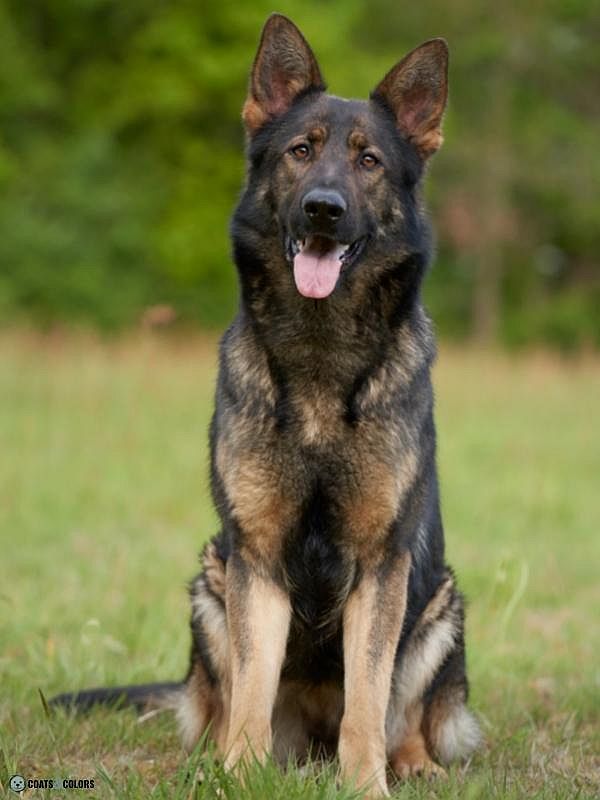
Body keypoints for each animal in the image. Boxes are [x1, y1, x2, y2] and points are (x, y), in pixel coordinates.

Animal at [52, 14, 482, 800]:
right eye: (300, 152)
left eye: (369, 161)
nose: (323, 209)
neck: (318, 361)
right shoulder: (254, 559)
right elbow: (252, 687)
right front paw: (238, 775)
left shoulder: (380, 567)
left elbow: (368, 700)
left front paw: (366, 783)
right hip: (212, 580)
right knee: (223, 702)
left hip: (439, 604)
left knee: (403, 712)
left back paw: (411, 761)